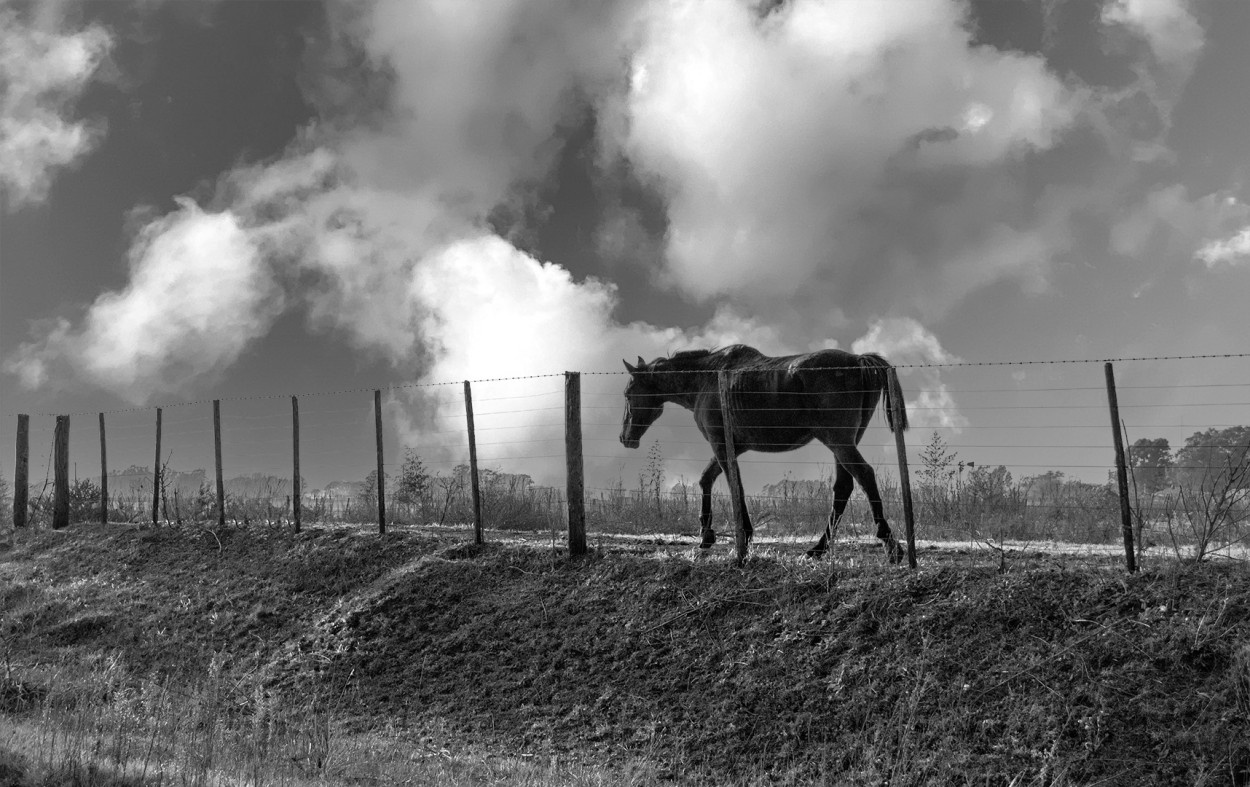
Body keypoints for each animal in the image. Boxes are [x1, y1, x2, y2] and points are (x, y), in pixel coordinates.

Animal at [622, 344, 910, 562]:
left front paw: (744, 538)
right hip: (845, 442)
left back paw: (891, 547)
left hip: (838, 441)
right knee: (843, 488)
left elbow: (734, 487)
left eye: (628, 393)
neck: (706, 379)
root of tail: (858, 361)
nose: (625, 438)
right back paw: (819, 548)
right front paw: (706, 535)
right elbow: (707, 480)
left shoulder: (720, 445)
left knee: (864, 476)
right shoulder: (729, 448)